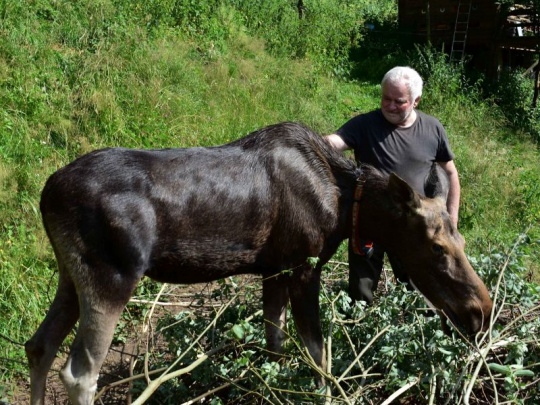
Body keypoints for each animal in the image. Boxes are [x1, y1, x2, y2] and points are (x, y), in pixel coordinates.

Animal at [26, 121, 494, 402]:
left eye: (460, 238)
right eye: (437, 247)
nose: (481, 310)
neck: (347, 208)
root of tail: (45, 194)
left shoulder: (274, 269)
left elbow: (275, 344)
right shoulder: (304, 266)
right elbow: (319, 357)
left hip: (71, 276)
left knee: (39, 345)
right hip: (114, 277)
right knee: (80, 373)